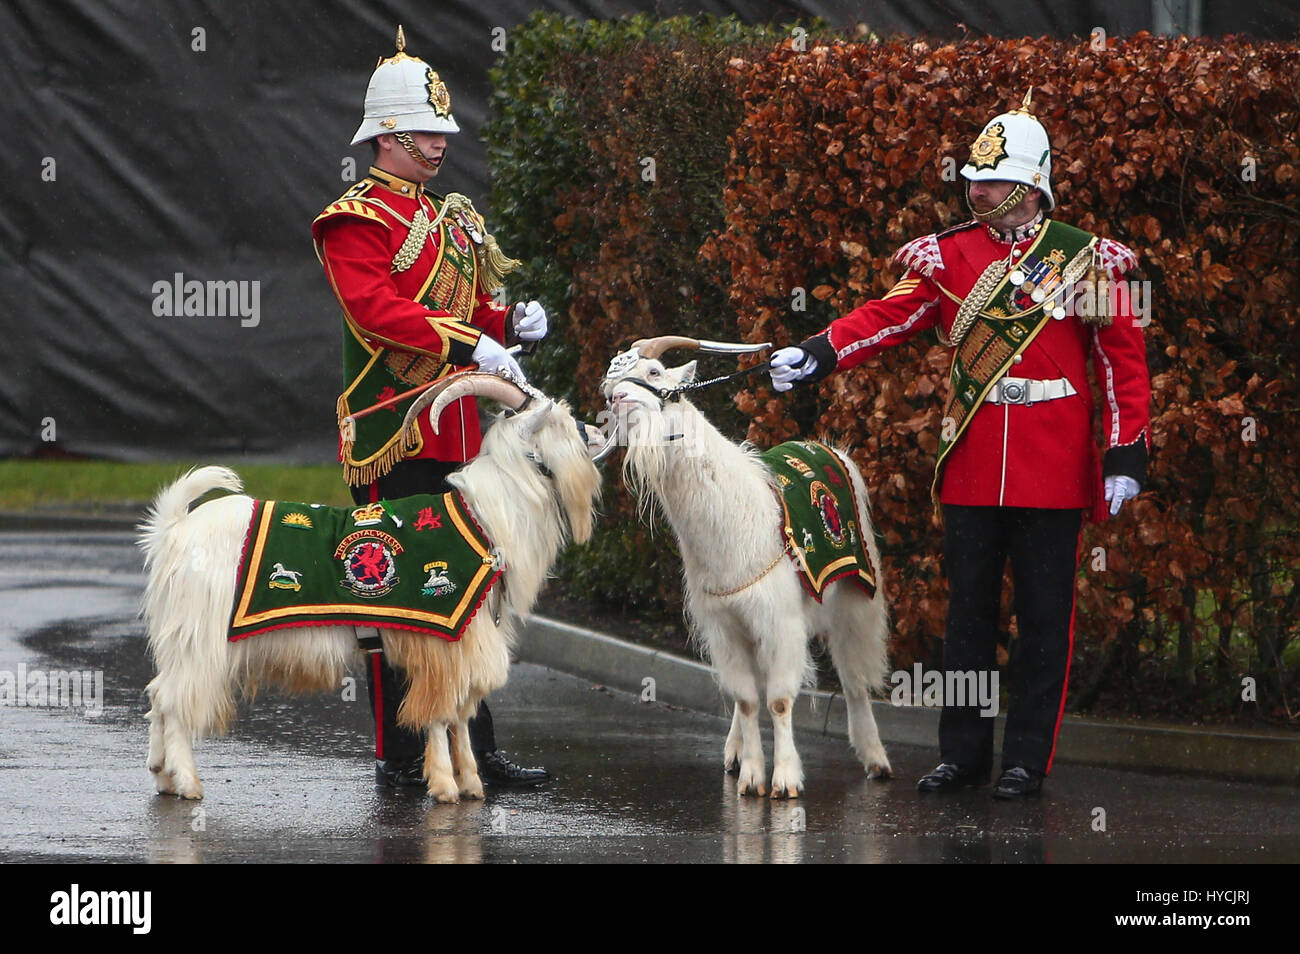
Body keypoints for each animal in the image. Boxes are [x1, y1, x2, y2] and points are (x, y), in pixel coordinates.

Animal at [139, 369, 600, 805]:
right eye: (562, 421)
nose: (596, 431)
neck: (483, 516)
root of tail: (175, 529)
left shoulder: (468, 637)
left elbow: (461, 715)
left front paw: (471, 783)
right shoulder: (442, 636)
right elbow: (439, 713)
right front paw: (445, 787)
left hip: (182, 638)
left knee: (159, 694)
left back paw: (161, 775)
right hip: (200, 636)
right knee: (175, 701)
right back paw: (187, 782)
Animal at [600, 337, 894, 800]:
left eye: (654, 373)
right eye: (609, 383)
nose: (616, 398)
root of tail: (826, 447)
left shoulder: (780, 621)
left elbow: (778, 700)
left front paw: (786, 780)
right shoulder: (723, 624)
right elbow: (746, 699)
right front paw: (753, 775)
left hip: (857, 592)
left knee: (854, 675)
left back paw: (875, 758)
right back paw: (735, 753)